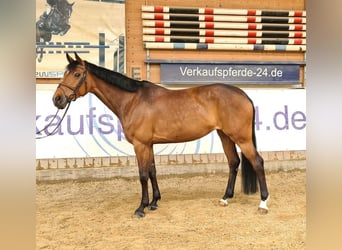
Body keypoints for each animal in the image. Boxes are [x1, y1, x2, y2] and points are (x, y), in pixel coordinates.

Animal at [52, 52, 268, 217]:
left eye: (77, 74)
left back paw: (263, 203)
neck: (133, 100)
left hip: (241, 138)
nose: (57, 99)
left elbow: (142, 175)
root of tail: (243, 95)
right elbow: (152, 171)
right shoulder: (149, 144)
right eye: (65, 73)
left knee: (257, 162)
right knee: (233, 162)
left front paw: (141, 207)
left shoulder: (140, 145)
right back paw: (224, 198)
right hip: (225, 136)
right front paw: (154, 202)